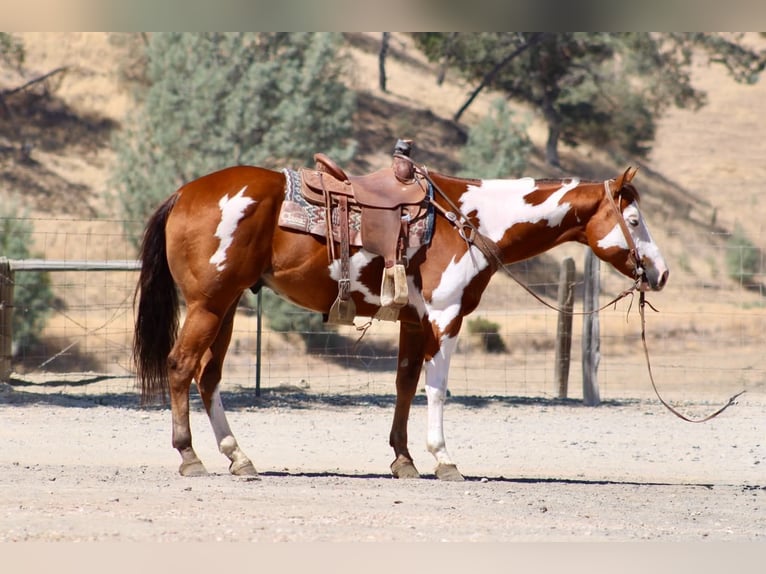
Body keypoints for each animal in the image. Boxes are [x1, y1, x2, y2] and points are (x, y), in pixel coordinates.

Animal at [133, 161, 668, 481]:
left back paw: (238, 456)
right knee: (181, 366)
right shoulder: (446, 318)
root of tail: (185, 192)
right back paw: (189, 456)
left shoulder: (414, 321)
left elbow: (406, 385)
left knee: (208, 376)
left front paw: (403, 459)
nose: (661, 273)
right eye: (634, 221)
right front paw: (444, 459)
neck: (470, 221)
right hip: (208, 305)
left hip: (224, 308)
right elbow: (437, 389)